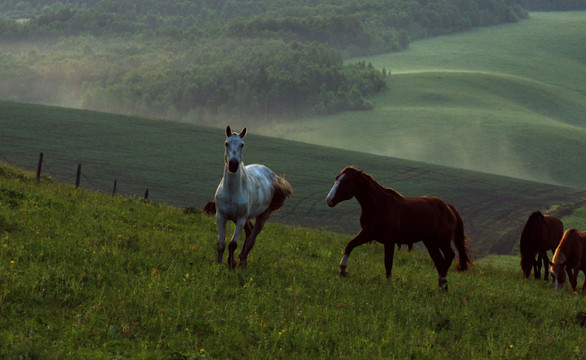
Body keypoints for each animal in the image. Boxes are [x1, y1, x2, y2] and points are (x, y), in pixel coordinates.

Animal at [213, 125, 290, 268]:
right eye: (226, 143)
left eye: (242, 144)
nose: (233, 164)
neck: (232, 191)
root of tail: (273, 176)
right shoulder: (221, 216)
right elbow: (221, 244)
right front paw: (220, 264)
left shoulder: (241, 218)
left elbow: (233, 244)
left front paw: (231, 264)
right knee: (249, 233)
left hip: (262, 217)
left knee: (251, 239)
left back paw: (242, 261)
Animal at [324, 167, 470, 290]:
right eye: (336, 178)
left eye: (347, 181)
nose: (329, 200)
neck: (379, 205)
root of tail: (448, 207)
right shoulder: (368, 233)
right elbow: (350, 245)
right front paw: (343, 271)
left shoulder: (389, 240)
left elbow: (388, 262)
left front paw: (389, 283)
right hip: (430, 242)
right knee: (439, 261)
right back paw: (442, 286)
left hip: (442, 240)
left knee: (449, 256)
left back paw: (443, 281)